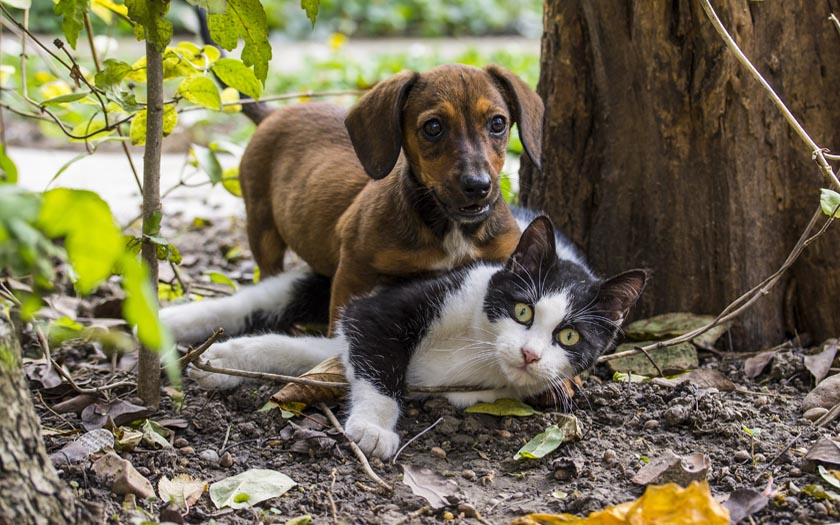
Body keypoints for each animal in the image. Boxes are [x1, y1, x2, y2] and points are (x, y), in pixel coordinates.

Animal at [161, 211, 648, 456]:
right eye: (523, 310)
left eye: (569, 338)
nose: (530, 355)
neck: (479, 347)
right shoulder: (390, 305)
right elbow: (377, 357)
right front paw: (373, 428)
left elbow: (314, 351)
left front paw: (226, 360)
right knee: (260, 299)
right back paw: (168, 323)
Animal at [236, 63, 544, 326]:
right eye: (433, 127)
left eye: (498, 123)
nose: (478, 186)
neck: (450, 228)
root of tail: (272, 114)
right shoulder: (354, 270)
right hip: (262, 228)